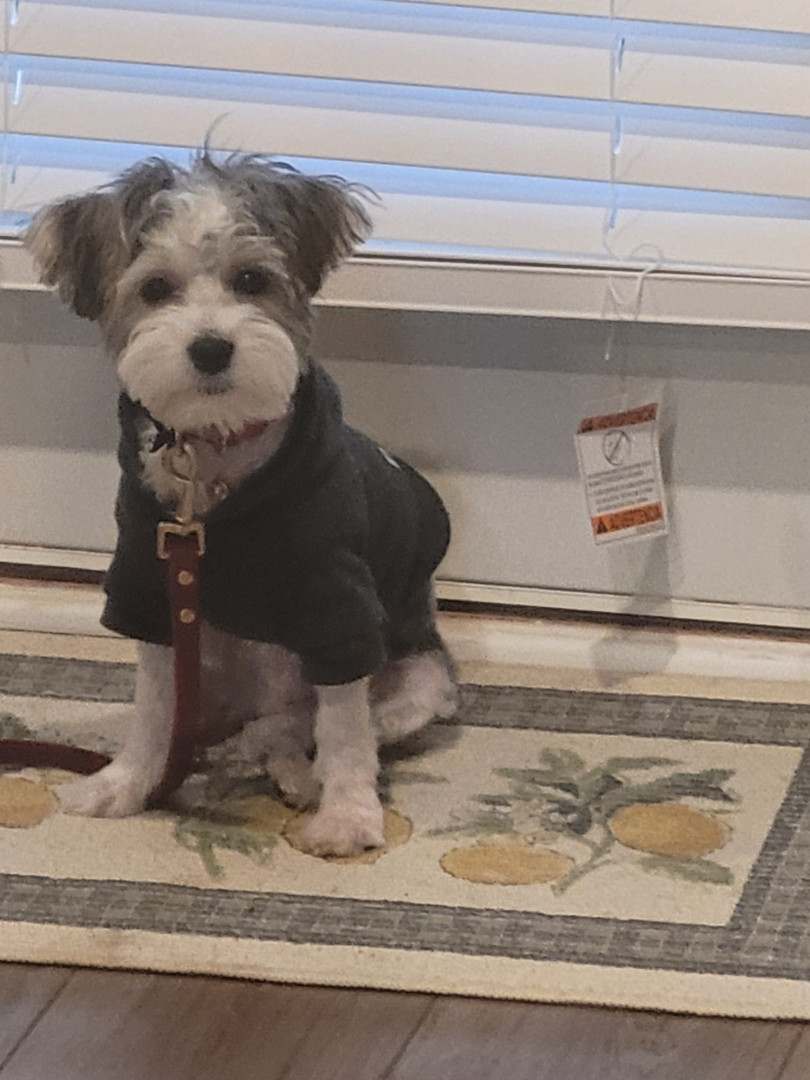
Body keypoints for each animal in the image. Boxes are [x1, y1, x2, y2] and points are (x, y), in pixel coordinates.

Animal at [26, 151, 457, 858]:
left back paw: (291, 769)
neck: (214, 456)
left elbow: (345, 727)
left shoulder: (335, 604)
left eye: (251, 279)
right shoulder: (149, 585)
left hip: (419, 681)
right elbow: (153, 709)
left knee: (309, 725)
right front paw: (126, 782)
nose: (210, 348)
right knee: (220, 722)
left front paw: (346, 816)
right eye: (155, 289)